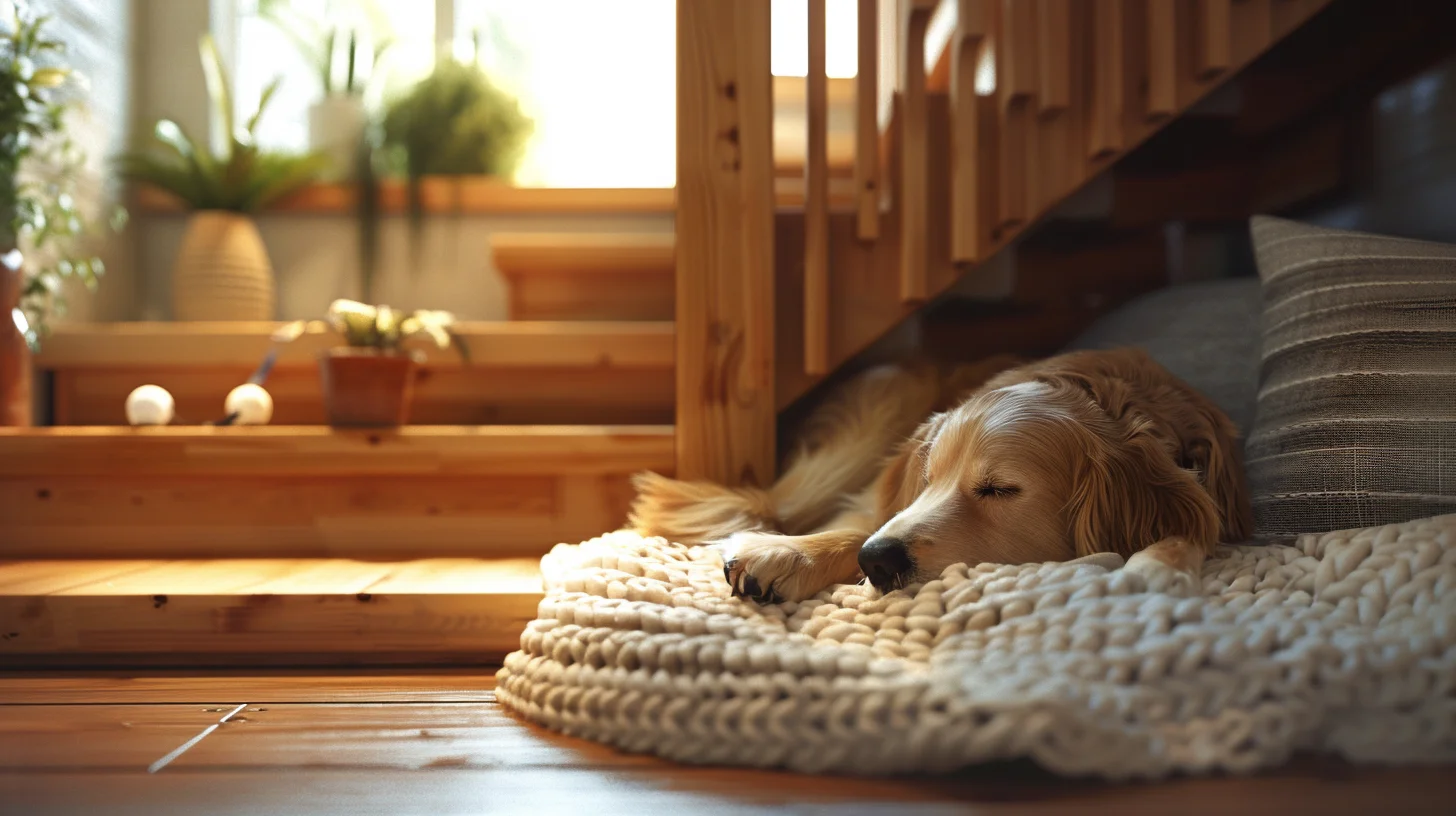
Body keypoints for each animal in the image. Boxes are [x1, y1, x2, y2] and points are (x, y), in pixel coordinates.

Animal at [626, 346, 1252, 603]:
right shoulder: (885, 500)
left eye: (999, 489)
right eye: (927, 481)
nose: (878, 564)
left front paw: (1157, 565)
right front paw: (787, 554)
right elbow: (863, 525)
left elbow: (1192, 528)